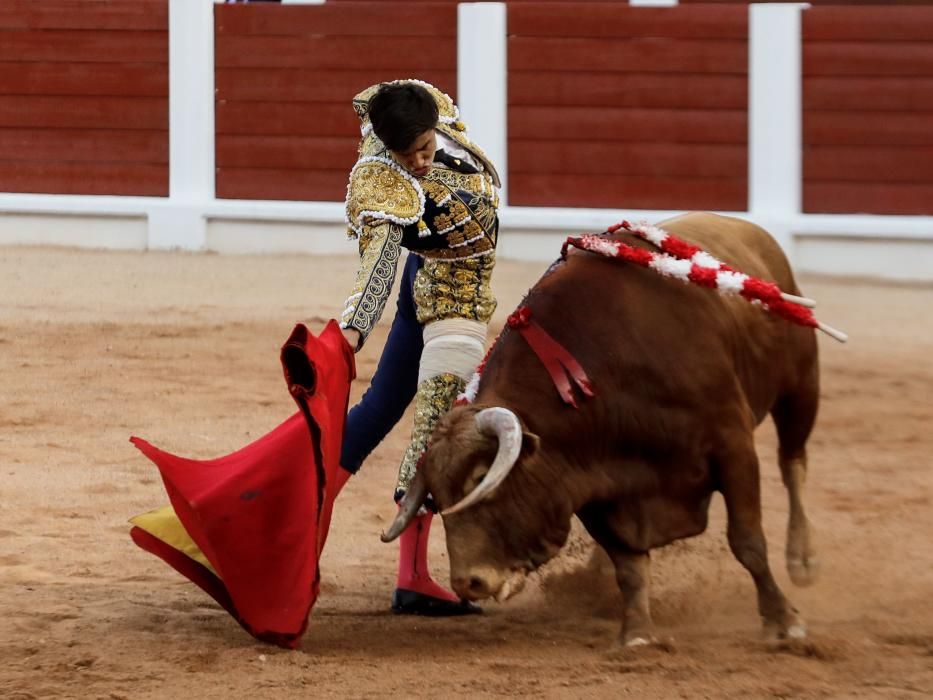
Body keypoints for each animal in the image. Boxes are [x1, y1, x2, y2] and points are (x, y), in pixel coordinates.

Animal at [382, 212, 820, 644]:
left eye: (480, 480)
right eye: (437, 497)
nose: (467, 583)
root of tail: (748, 228)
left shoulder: (732, 445)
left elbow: (747, 541)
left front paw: (783, 621)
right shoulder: (588, 476)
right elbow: (628, 564)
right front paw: (637, 632)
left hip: (801, 385)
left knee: (793, 462)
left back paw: (802, 560)